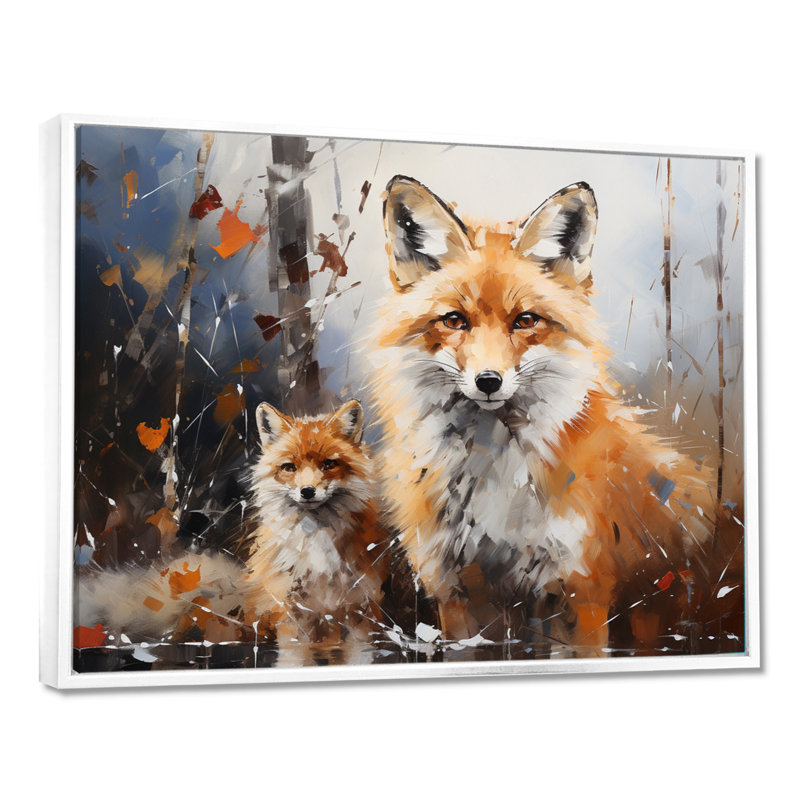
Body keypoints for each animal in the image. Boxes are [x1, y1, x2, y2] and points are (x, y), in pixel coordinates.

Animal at [368, 175, 718, 657]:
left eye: (525, 320)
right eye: (454, 320)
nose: (488, 381)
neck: (492, 473)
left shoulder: (580, 588)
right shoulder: (456, 591)